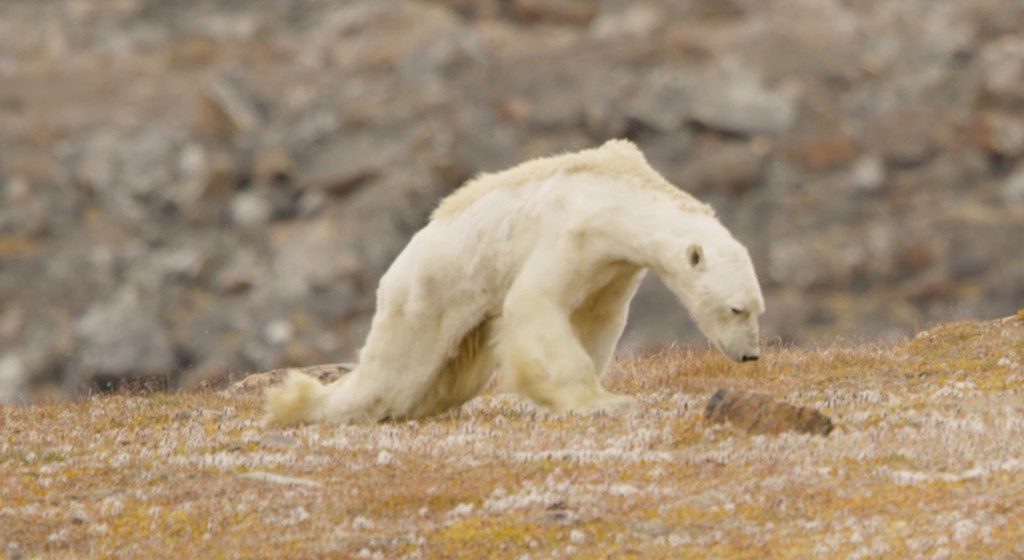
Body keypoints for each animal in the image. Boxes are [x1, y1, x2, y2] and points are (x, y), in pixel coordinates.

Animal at [265, 139, 764, 425]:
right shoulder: (570, 232)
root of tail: (394, 270)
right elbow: (534, 304)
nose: (750, 354)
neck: (619, 195)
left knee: (447, 379)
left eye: (757, 309)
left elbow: (597, 319)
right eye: (736, 308)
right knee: (393, 375)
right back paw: (298, 405)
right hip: (427, 295)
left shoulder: (614, 266)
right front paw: (598, 401)